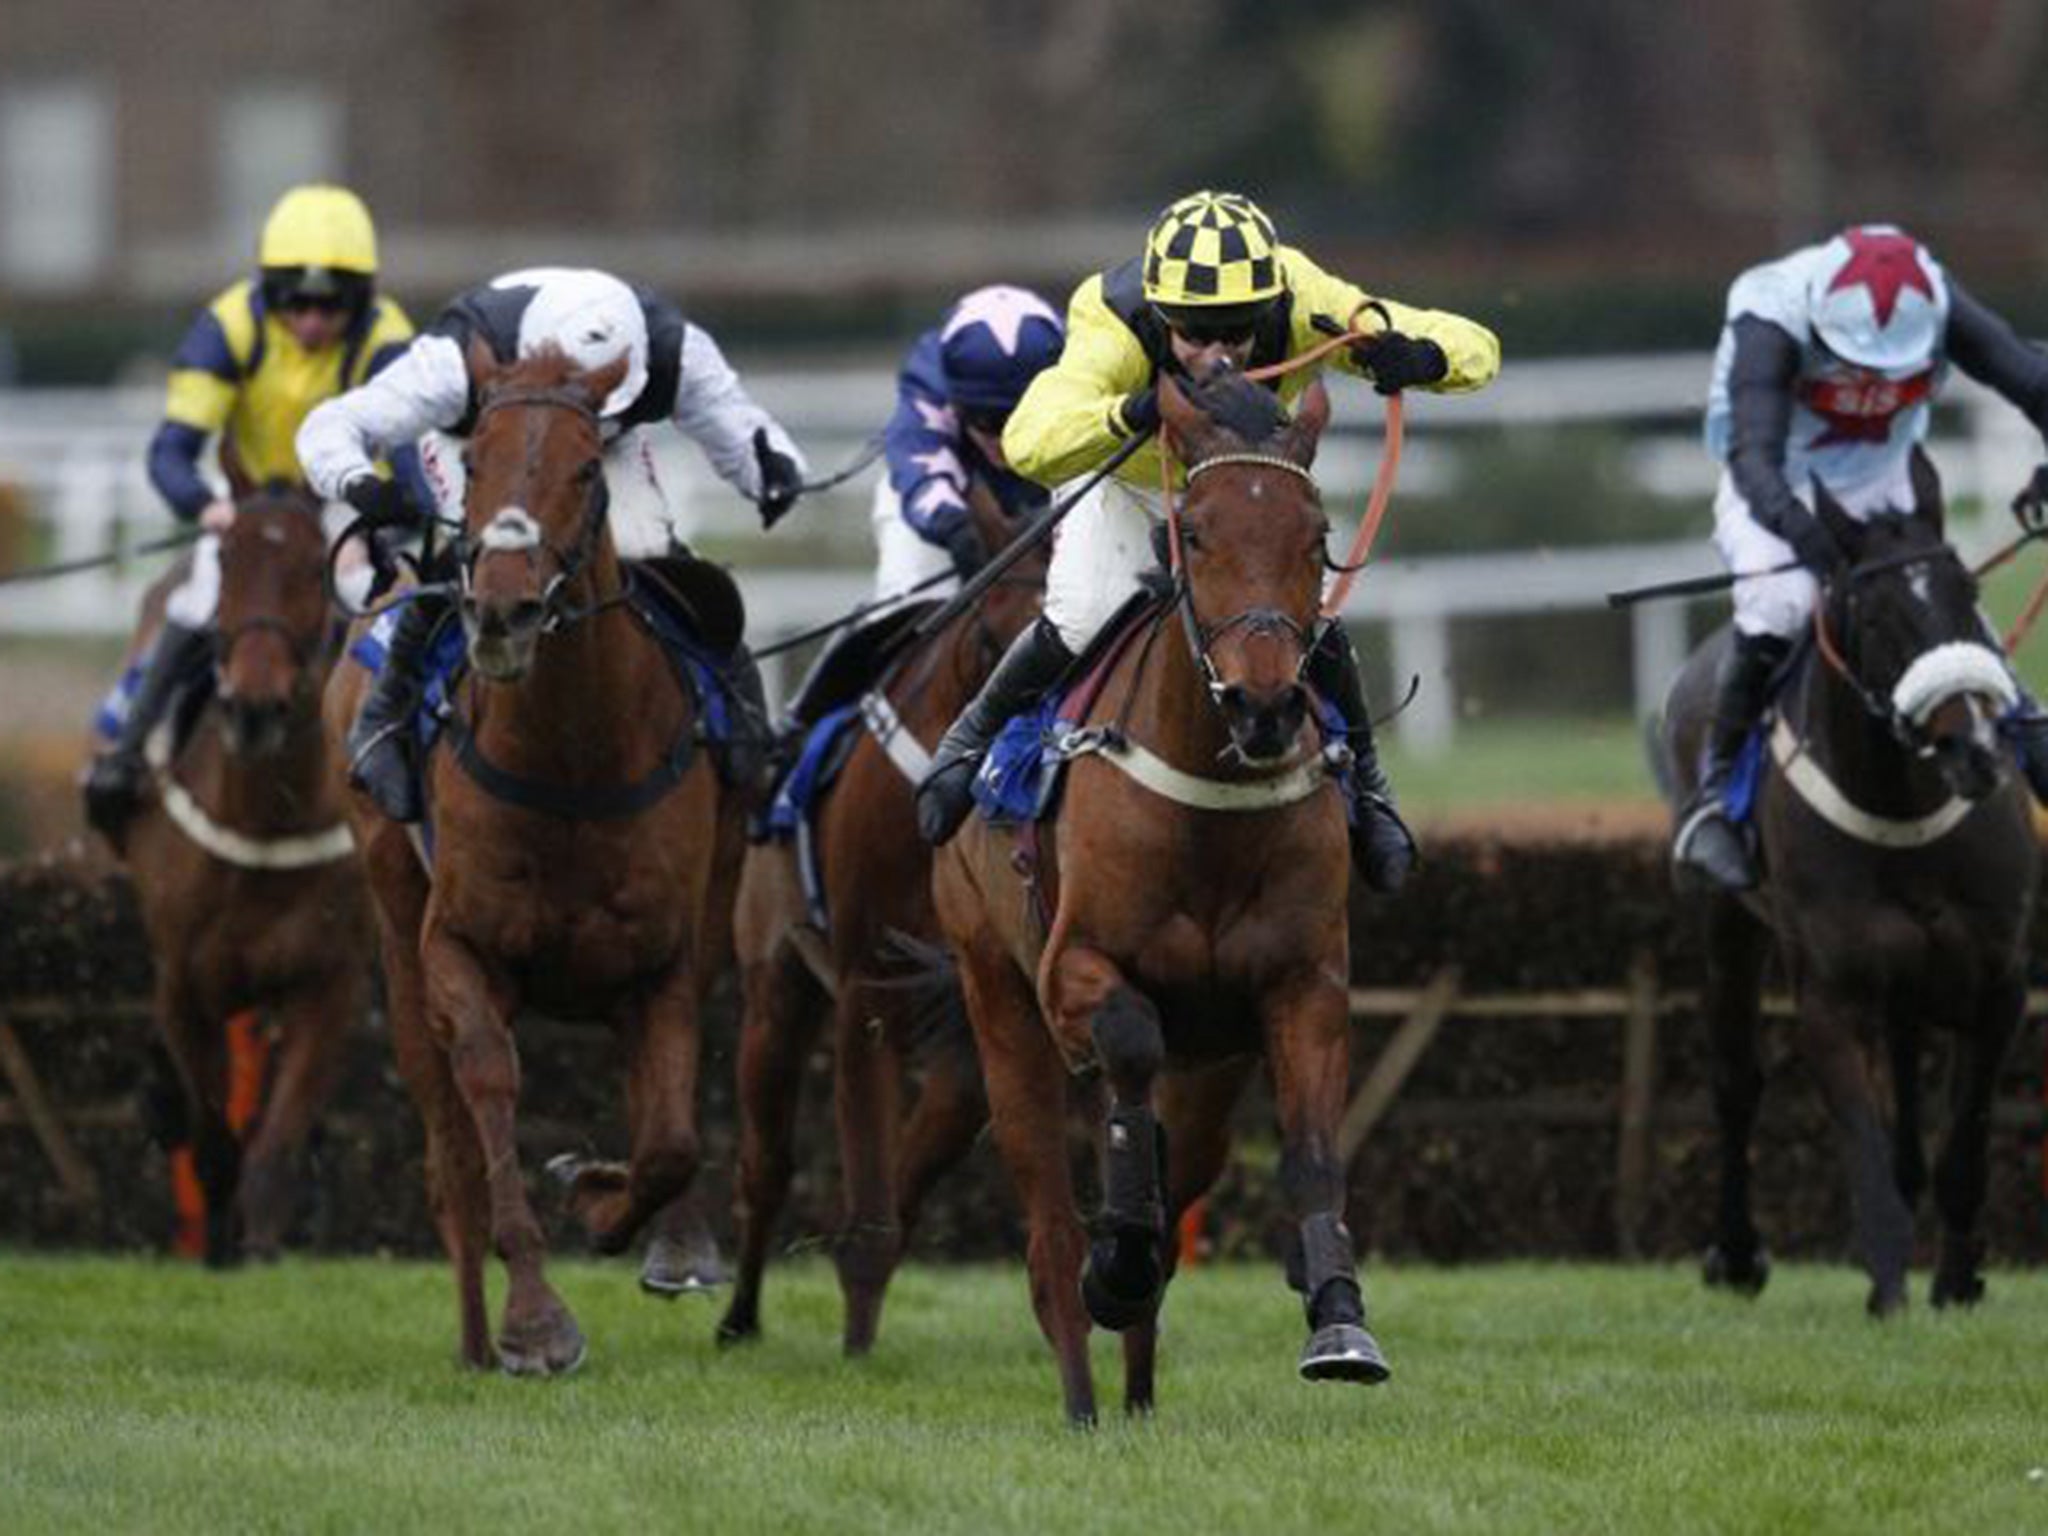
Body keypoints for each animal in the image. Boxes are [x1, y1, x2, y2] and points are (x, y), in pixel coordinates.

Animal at [108, 487, 366, 1269]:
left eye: (315, 568)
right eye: (226, 559)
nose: (254, 708)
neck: (264, 822)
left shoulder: (328, 982)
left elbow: (277, 1136)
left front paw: (264, 1237)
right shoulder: (185, 984)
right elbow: (214, 1130)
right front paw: (219, 1238)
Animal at [331, 346, 749, 1368]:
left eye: (587, 468)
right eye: (474, 461)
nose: (504, 614)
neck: (572, 758)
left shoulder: (663, 959)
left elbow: (670, 1137)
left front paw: (606, 1201)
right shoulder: (458, 948)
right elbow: (488, 1089)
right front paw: (533, 1320)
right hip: (394, 919)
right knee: (448, 1151)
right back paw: (477, 1338)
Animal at [716, 481, 1040, 1359]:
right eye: (989, 631)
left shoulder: (972, 1006)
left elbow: (909, 1171)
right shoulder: (866, 985)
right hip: (775, 986)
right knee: (763, 1164)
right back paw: (738, 1317)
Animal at [937, 366, 1384, 1425]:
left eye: (1316, 534)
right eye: (1201, 532)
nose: (1265, 708)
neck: (1208, 804)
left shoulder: (1302, 984)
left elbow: (1311, 1150)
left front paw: (1339, 1320)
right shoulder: (1071, 973)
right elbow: (1128, 1054)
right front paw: (1119, 1261)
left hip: (1212, 1068)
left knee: (1182, 1167)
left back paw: (1138, 1394)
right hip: (996, 999)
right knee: (1049, 1224)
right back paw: (1085, 1388)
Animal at [1662, 450, 2031, 1318]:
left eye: (1967, 593)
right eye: (1878, 612)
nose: (1973, 750)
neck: (1904, 808)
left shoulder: (1999, 982)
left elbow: (1965, 1146)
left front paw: (1957, 1279)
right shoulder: (1831, 996)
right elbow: (1860, 1144)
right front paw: (1890, 1285)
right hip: (1723, 924)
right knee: (1736, 1082)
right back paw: (1736, 1255)